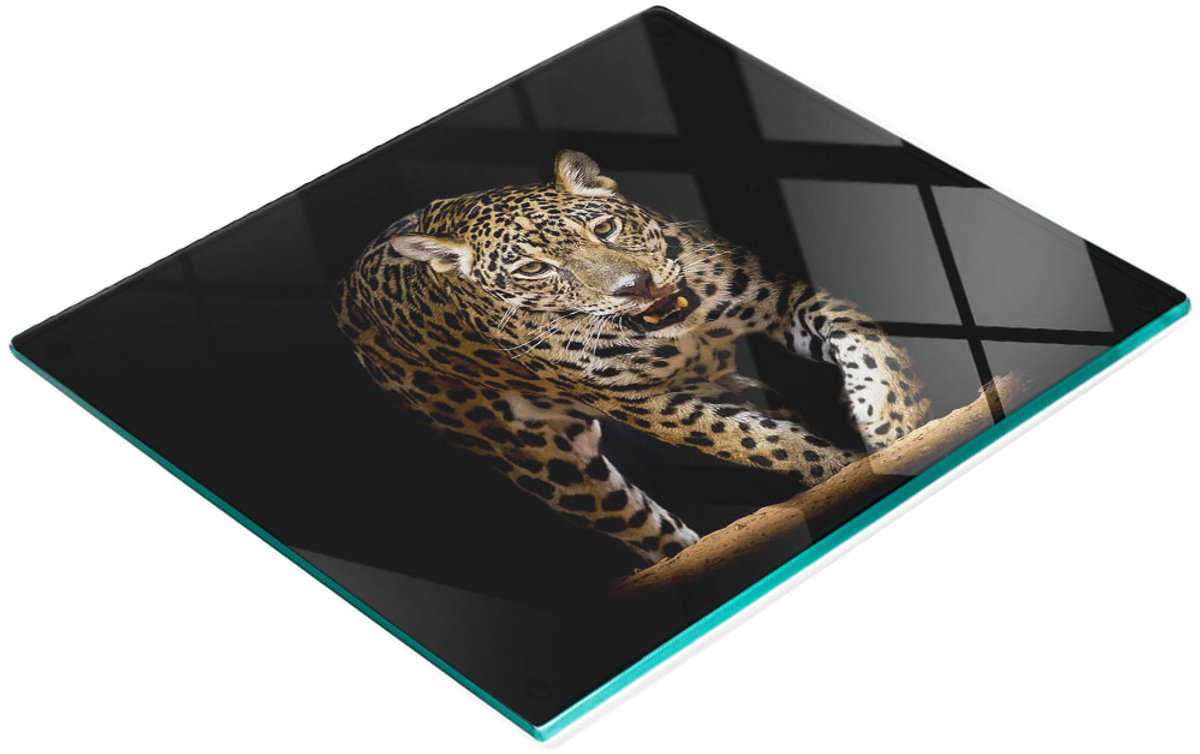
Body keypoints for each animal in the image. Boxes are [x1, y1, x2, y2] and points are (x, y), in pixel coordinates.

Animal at [333, 150, 930, 564]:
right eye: (534, 269)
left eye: (604, 227)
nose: (634, 286)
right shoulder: (645, 402)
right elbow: (759, 443)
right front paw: (843, 469)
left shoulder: (778, 297)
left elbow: (861, 340)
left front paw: (893, 418)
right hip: (550, 466)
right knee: (652, 535)